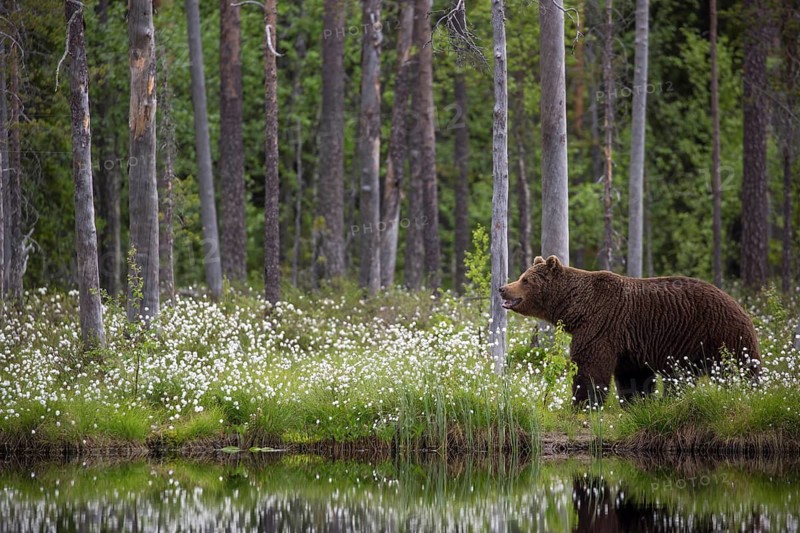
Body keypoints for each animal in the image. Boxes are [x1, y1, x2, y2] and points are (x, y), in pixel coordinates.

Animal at [499, 255, 761, 407]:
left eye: (525, 280)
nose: (502, 288)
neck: (577, 306)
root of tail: (738, 305)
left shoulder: (601, 325)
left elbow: (590, 366)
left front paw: (582, 402)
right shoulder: (629, 343)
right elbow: (632, 375)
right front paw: (636, 401)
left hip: (719, 335)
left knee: (739, 369)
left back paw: (749, 391)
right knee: (681, 378)